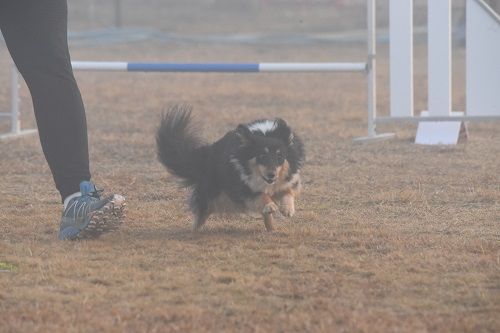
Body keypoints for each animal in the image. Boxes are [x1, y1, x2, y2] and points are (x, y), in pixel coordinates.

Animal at [157, 105, 304, 230]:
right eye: (262, 156)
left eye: (280, 156)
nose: (271, 175)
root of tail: (207, 153)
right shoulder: (243, 185)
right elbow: (260, 195)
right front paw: (270, 205)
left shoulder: (288, 179)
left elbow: (288, 191)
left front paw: (287, 209)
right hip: (210, 193)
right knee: (201, 213)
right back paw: (195, 230)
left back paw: (271, 229)